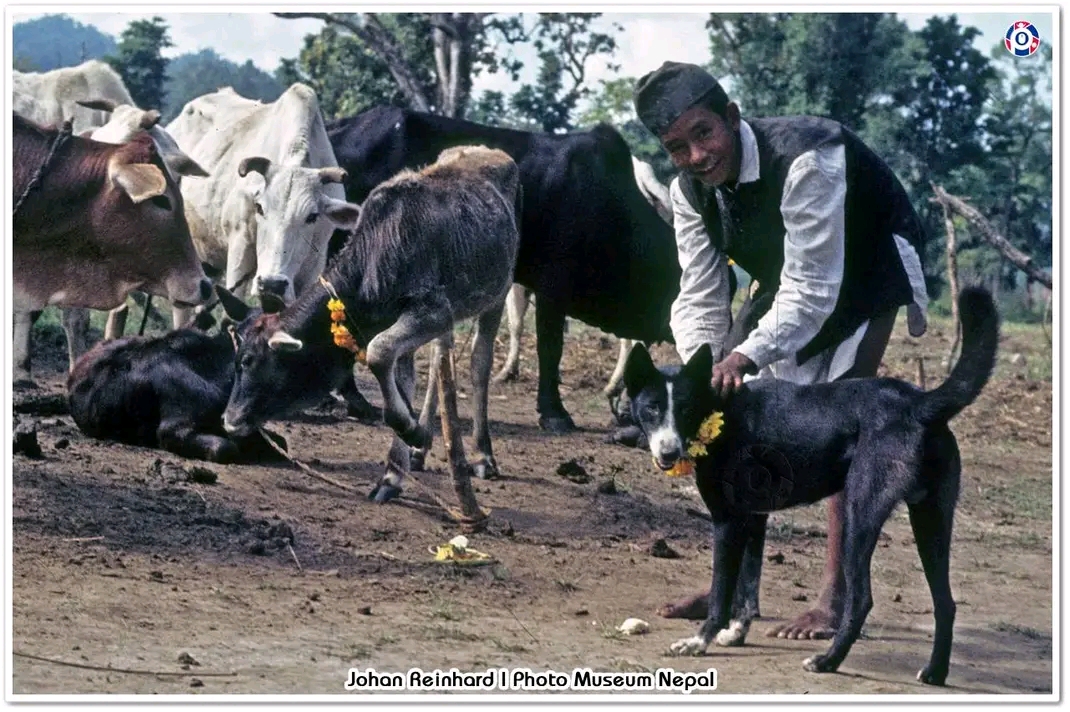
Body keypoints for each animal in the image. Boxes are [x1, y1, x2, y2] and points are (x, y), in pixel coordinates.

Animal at [222, 144, 522, 498]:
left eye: (253, 363)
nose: (229, 420)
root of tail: (486, 150)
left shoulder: (432, 312)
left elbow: (380, 355)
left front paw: (412, 432)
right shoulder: (413, 322)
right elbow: (403, 379)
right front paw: (397, 466)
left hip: (497, 292)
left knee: (479, 364)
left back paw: (482, 455)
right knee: (439, 362)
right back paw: (421, 451)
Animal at [624, 286, 997, 685]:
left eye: (685, 409)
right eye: (651, 409)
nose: (669, 451)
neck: (719, 410)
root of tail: (919, 404)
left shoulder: (727, 522)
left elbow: (722, 590)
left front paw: (700, 641)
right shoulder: (754, 519)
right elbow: (748, 584)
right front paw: (737, 632)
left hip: (860, 516)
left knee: (862, 599)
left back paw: (828, 660)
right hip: (931, 519)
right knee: (945, 602)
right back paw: (935, 671)